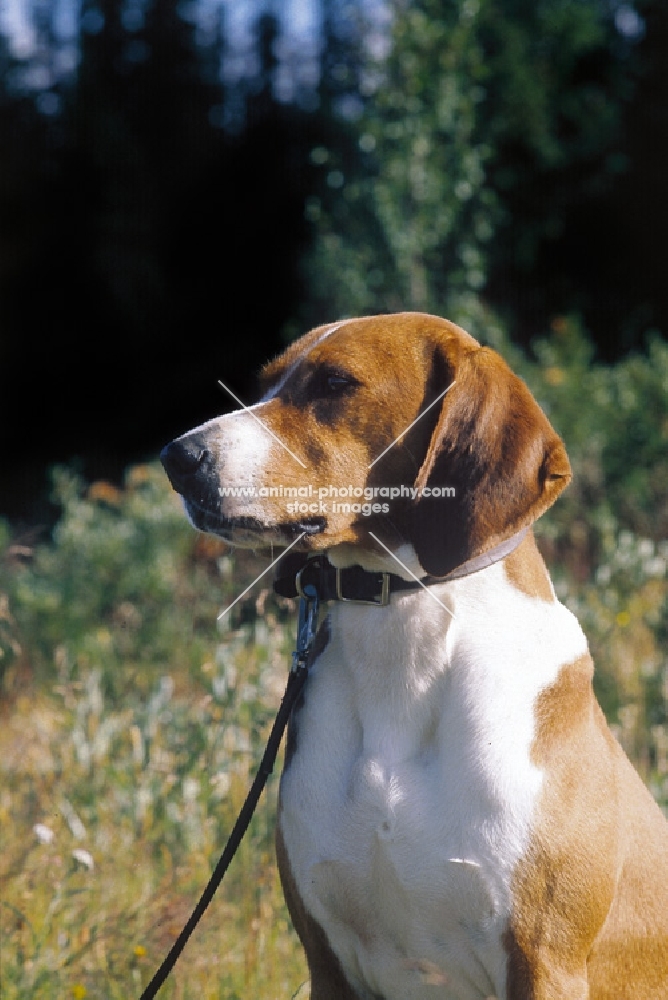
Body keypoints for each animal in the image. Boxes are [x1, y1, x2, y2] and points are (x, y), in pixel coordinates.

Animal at [162, 312, 668, 1000]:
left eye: (335, 383)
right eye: (266, 383)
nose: (177, 457)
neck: (401, 640)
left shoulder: (545, 963)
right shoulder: (329, 965)